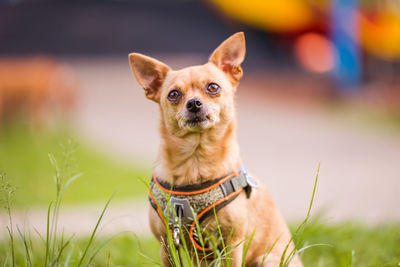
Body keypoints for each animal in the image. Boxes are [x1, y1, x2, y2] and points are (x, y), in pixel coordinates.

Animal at [129, 32, 304, 266]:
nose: (194, 103)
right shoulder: (166, 245)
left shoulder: (233, 244)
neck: (195, 161)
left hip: (266, 259)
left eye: (213, 87)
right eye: (174, 94)